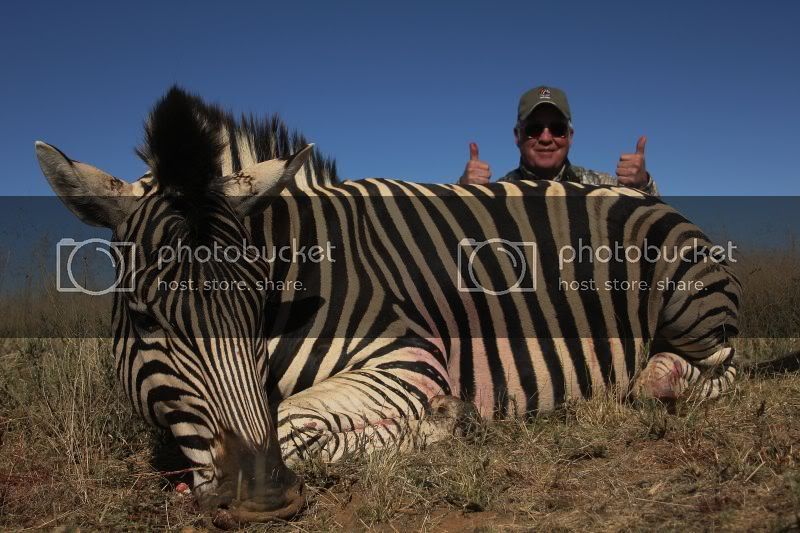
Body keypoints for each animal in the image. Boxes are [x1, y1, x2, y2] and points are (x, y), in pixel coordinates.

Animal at [32, 87, 792, 524]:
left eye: (257, 306)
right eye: (144, 318)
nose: (265, 498)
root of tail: (655, 202)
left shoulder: (408, 356)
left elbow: (297, 422)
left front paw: (442, 423)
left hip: (687, 305)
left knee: (711, 368)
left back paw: (648, 381)